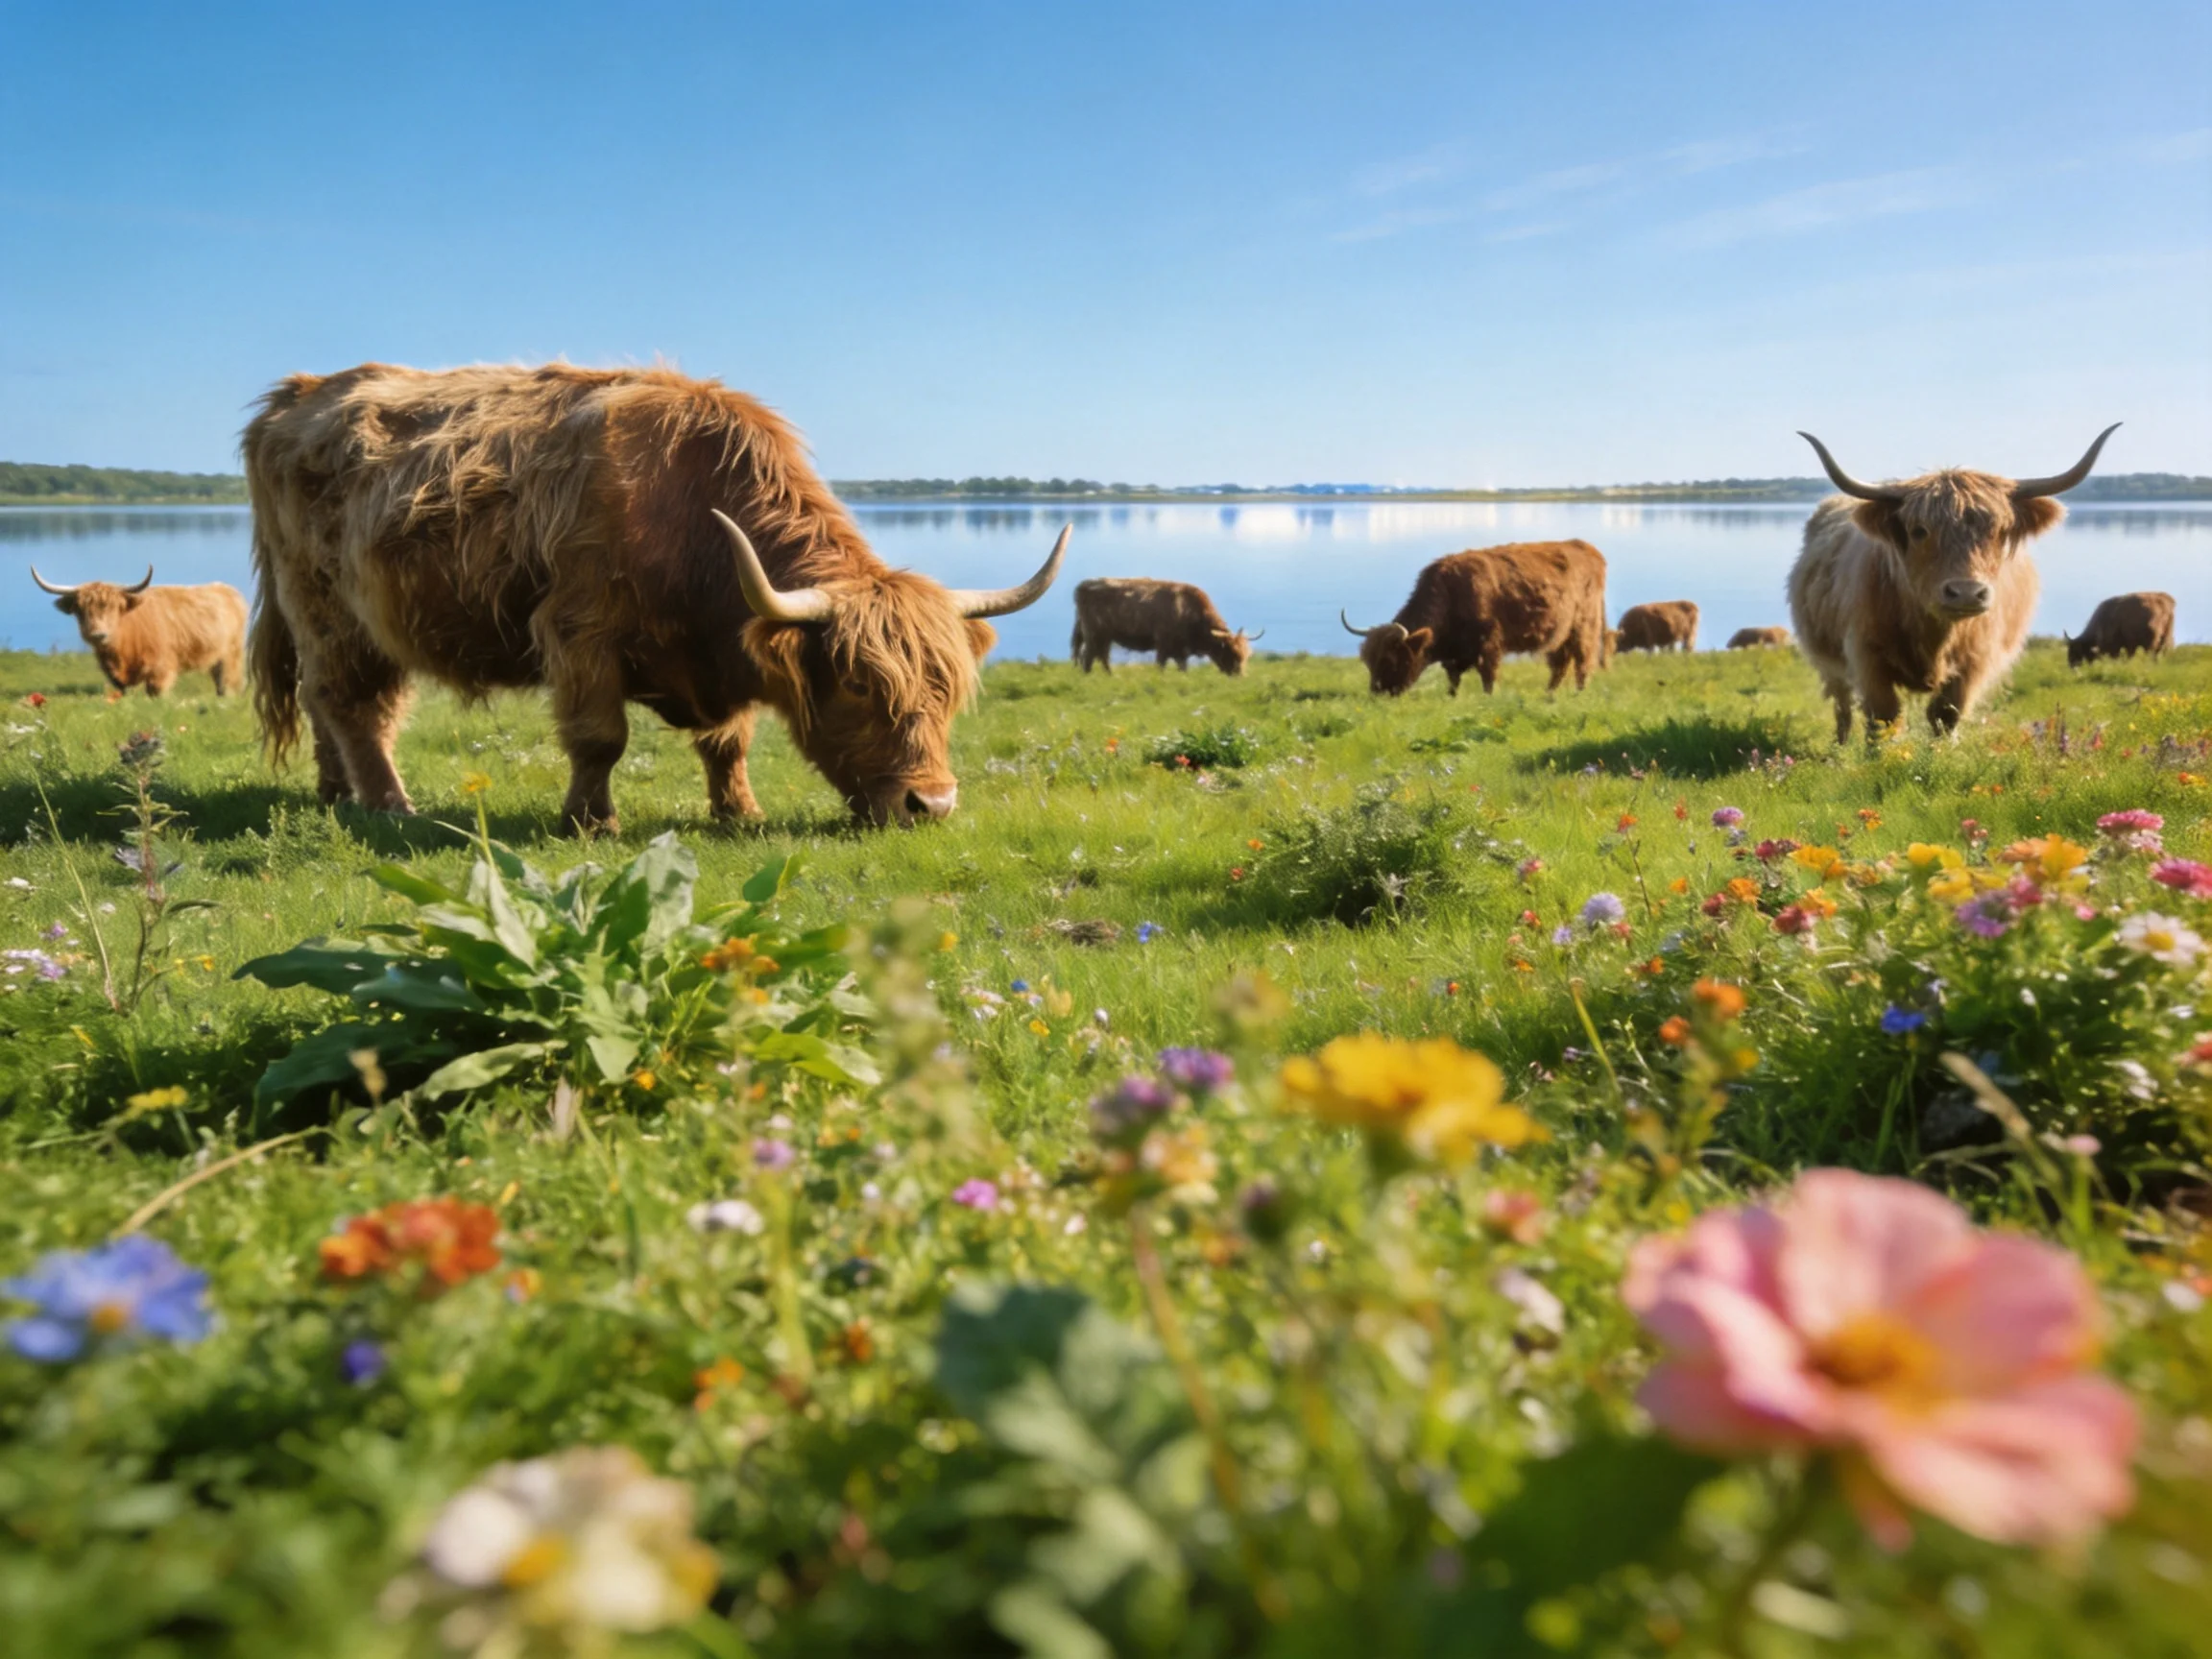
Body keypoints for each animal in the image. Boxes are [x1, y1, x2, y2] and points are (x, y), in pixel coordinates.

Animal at [31, 566, 247, 697]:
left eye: (114, 607)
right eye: (80, 609)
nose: (98, 635)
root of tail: (229, 591)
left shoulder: (161, 670)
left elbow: (156, 693)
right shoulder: (116, 678)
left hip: (232, 654)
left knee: (227, 681)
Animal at [243, 363, 1065, 833]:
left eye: (948, 688)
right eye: (862, 685)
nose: (932, 806)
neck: (686, 507)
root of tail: (296, 395)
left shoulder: (723, 647)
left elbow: (728, 741)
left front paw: (739, 810)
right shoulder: (579, 630)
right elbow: (600, 738)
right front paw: (590, 821)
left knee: (329, 703)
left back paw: (334, 791)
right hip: (327, 608)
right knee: (350, 702)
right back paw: (388, 805)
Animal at [1071, 578, 1261, 675]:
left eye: (1247, 655)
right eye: (1231, 652)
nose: (1240, 675)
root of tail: (1084, 585)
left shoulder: (1180, 651)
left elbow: (1183, 668)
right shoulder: (1163, 645)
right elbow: (1160, 665)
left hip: (1105, 637)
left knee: (1101, 656)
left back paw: (1111, 676)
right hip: (1094, 634)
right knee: (1088, 657)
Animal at [1341, 540, 1607, 696]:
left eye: (1390, 659)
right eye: (1368, 660)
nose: (1377, 693)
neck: (1450, 595)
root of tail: (1586, 547)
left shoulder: (1488, 647)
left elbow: (1488, 679)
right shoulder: (1453, 656)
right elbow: (1453, 681)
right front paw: (1452, 699)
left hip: (1584, 626)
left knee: (1582, 662)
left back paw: (1578, 695)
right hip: (1560, 633)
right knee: (1561, 664)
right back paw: (1549, 696)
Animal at [1787, 424, 2119, 743]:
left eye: (2000, 530)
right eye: (1919, 531)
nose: (1966, 593)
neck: (1935, 635)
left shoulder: (1975, 661)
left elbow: (1945, 715)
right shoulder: (1867, 655)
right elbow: (1884, 717)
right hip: (1827, 660)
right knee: (1841, 704)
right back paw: (1840, 746)